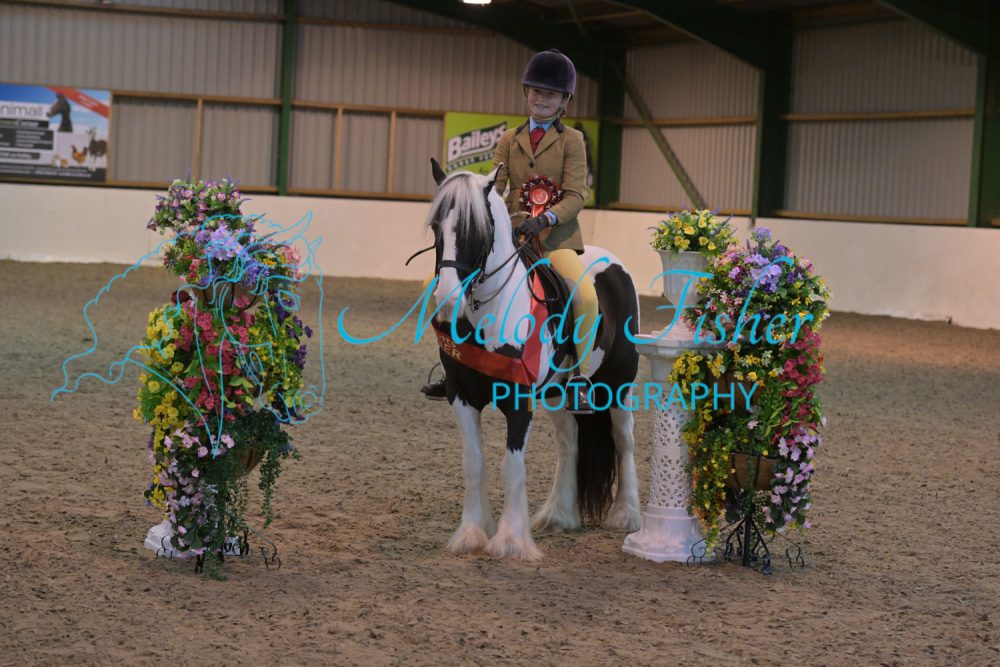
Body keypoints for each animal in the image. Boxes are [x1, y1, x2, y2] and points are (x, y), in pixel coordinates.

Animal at [426, 158, 641, 561]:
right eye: (435, 227)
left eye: (474, 229)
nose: (447, 299)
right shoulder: (461, 396)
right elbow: (473, 461)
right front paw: (472, 533)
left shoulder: (518, 400)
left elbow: (512, 465)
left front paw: (511, 541)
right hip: (558, 392)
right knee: (569, 441)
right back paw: (560, 515)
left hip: (618, 383)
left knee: (624, 439)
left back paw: (626, 516)